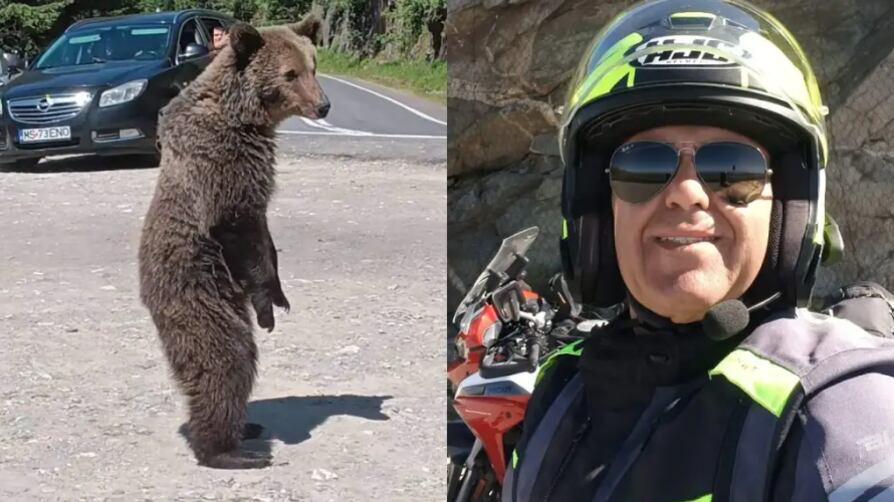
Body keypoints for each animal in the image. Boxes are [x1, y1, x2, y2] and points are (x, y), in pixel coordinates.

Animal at [137, 15, 330, 469]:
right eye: (290, 73)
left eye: (313, 66)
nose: (324, 106)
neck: (246, 118)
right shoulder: (224, 166)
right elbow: (240, 230)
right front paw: (269, 302)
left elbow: (266, 236)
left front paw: (280, 293)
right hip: (198, 290)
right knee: (225, 358)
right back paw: (229, 450)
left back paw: (247, 427)